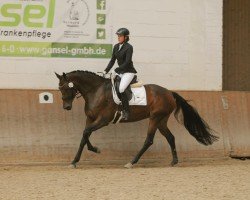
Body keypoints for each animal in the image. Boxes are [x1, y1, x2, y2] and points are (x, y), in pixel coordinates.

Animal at [55, 71, 218, 168]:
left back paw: (132, 162)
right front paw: (78, 159)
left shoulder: (103, 120)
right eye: (59, 88)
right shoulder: (90, 119)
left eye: (65, 88)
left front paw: (91, 151)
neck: (96, 91)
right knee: (170, 137)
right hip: (161, 120)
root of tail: (169, 93)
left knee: (149, 140)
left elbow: (86, 132)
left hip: (155, 118)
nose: (66, 107)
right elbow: (85, 135)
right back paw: (174, 161)